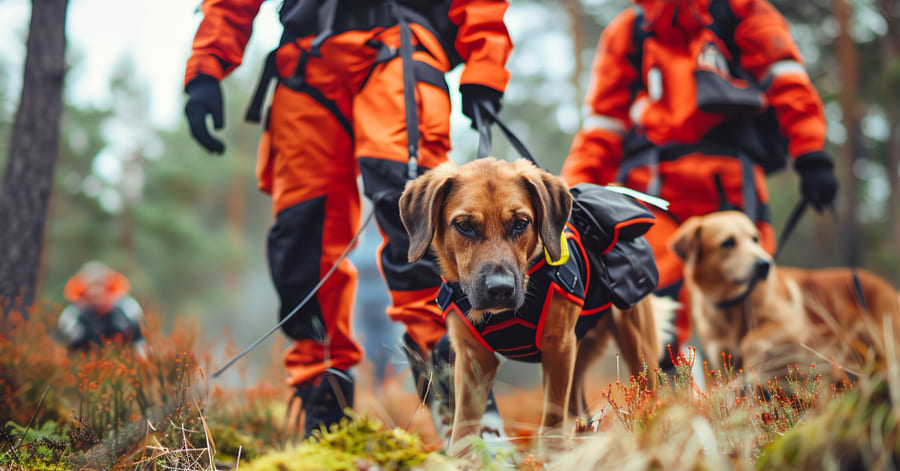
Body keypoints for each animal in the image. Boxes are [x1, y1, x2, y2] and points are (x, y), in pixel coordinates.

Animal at [398, 159, 672, 458]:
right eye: (464, 225)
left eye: (521, 223)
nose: (500, 289)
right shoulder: (472, 356)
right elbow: (464, 423)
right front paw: (460, 459)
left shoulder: (557, 345)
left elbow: (552, 416)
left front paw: (552, 457)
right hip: (579, 350)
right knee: (577, 407)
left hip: (633, 341)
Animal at [668, 210, 900, 384]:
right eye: (727, 242)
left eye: (755, 239)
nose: (764, 264)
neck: (733, 306)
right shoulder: (721, 359)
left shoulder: (793, 327)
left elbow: (750, 341)